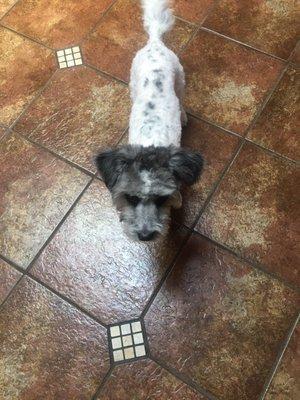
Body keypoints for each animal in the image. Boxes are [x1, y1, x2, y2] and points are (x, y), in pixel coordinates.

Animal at [96, 0, 204, 241]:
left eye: (162, 199)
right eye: (131, 198)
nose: (145, 236)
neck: (150, 142)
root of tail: (155, 41)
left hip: (180, 80)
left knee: (182, 99)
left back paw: (183, 115)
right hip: (133, 83)